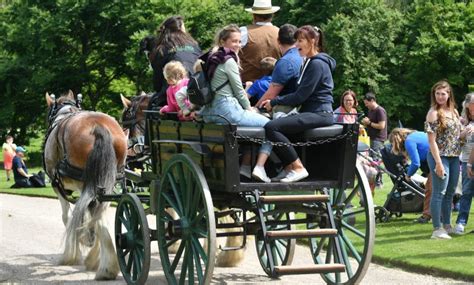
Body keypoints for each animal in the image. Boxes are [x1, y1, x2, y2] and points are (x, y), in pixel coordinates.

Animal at [42, 91, 127, 280]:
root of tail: (98, 126)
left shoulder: (57, 185)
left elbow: (67, 216)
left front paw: (71, 254)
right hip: (109, 181)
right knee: (99, 214)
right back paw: (102, 263)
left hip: (85, 183)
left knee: (95, 216)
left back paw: (104, 267)